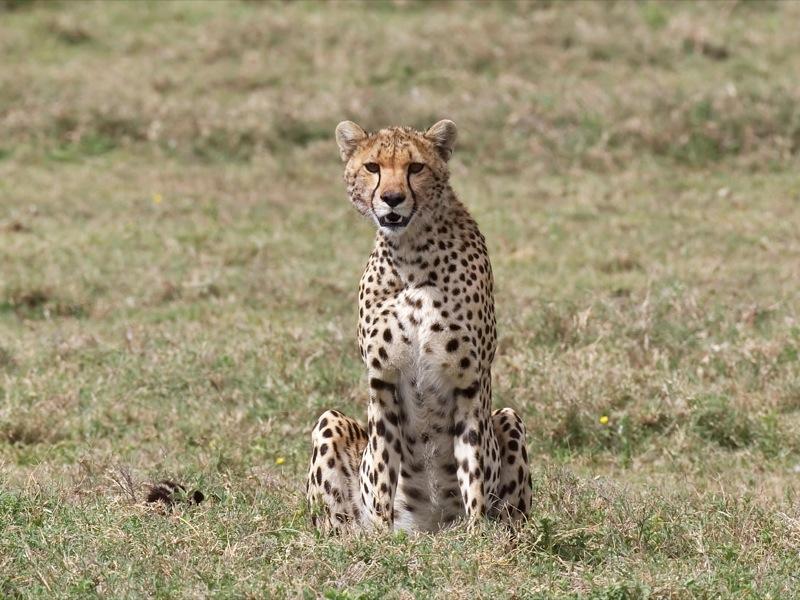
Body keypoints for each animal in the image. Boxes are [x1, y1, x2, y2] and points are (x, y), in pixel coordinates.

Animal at [305, 119, 531, 533]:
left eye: (415, 168)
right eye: (373, 167)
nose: (392, 199)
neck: (412, 253)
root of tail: (429, 528)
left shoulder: (470, 381)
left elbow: (472, 468)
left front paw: (477, 537)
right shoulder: (382, 379)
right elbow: (382, 468)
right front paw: (381, 537)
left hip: (508, 421)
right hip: (330, 423)